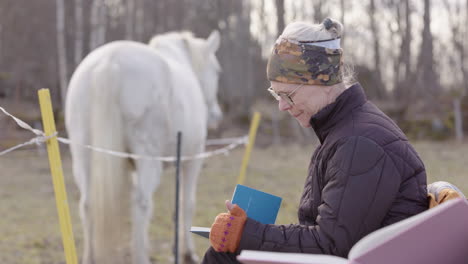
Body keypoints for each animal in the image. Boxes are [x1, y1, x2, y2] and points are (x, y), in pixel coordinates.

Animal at [65, 30, 222, 264]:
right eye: (217, 71)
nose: (216, 116)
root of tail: (109, 62)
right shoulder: (191, 160)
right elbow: (186, 204)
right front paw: (187, 253)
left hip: (83, 156)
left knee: (87, 204)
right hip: (148, 158)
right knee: (141, 205)